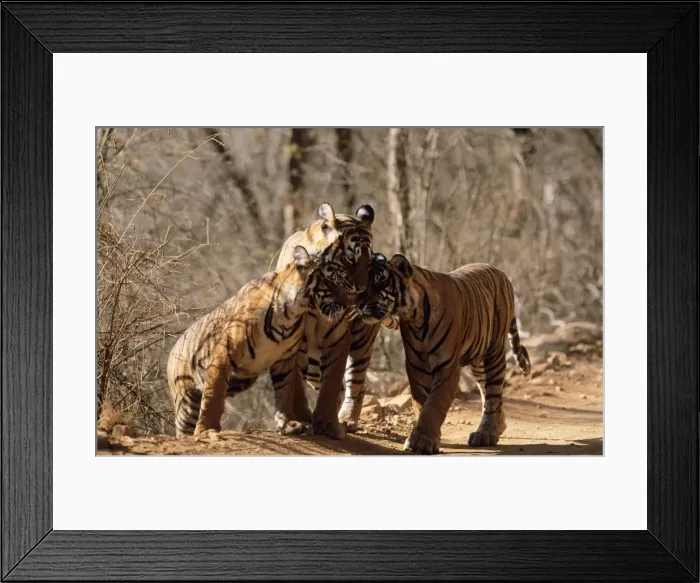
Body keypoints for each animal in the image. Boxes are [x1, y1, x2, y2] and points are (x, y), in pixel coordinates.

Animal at [167, 243, 355, 438]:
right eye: (332, 282)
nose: (347, 304)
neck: (292, 312)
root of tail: (173, 349)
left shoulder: (285, 358)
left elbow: (285, 391)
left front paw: (290, 423)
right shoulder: (223, 355)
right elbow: (214, 395)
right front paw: (207, 430)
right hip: (187, 404)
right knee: (184, 426)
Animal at [274, 201, 374, 439]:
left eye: (369, 261)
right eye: (350, 260)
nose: (363, 289)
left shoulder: (338, 336)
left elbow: (332, 382)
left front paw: (329, 424)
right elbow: (294, 384)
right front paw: (298, 420)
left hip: (361, 339)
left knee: (356, 383)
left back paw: (347, 419)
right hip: (312, 365)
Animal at [356, 254, 531, 454]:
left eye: (379, 282)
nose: (358, 304)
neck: (414, 317)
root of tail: (500, 272)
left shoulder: (447, 366)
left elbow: (434, 404)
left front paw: (421, 441)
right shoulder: (417, 366)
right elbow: (421, 404)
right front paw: (429, 438)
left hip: (493, 353)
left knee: (493, 394)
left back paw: (486, 433)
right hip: (479, 361)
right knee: (486, 391)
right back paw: (498, 426)